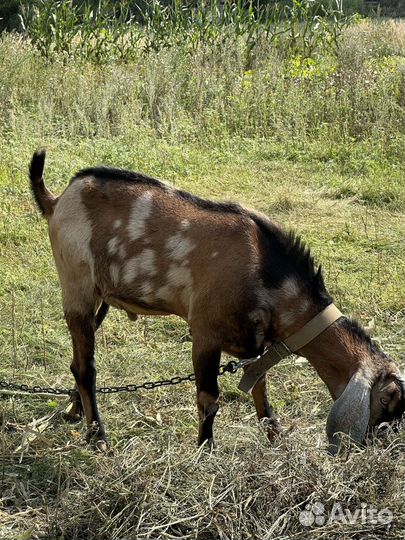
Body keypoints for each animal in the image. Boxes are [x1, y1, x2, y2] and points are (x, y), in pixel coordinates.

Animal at [29, 148, 404, 452]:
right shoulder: (205, 333)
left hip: (101, 299)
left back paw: (77, 412)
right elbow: (209, 398)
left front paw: (276, 438)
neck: (266, 271)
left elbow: (260, 387)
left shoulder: (253, 343)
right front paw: (205, 450)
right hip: (76, 285)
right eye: (389, 401)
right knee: (87, 368)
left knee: (78, 361)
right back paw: (99, 437)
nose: (379, 447)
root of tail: (58, 199)